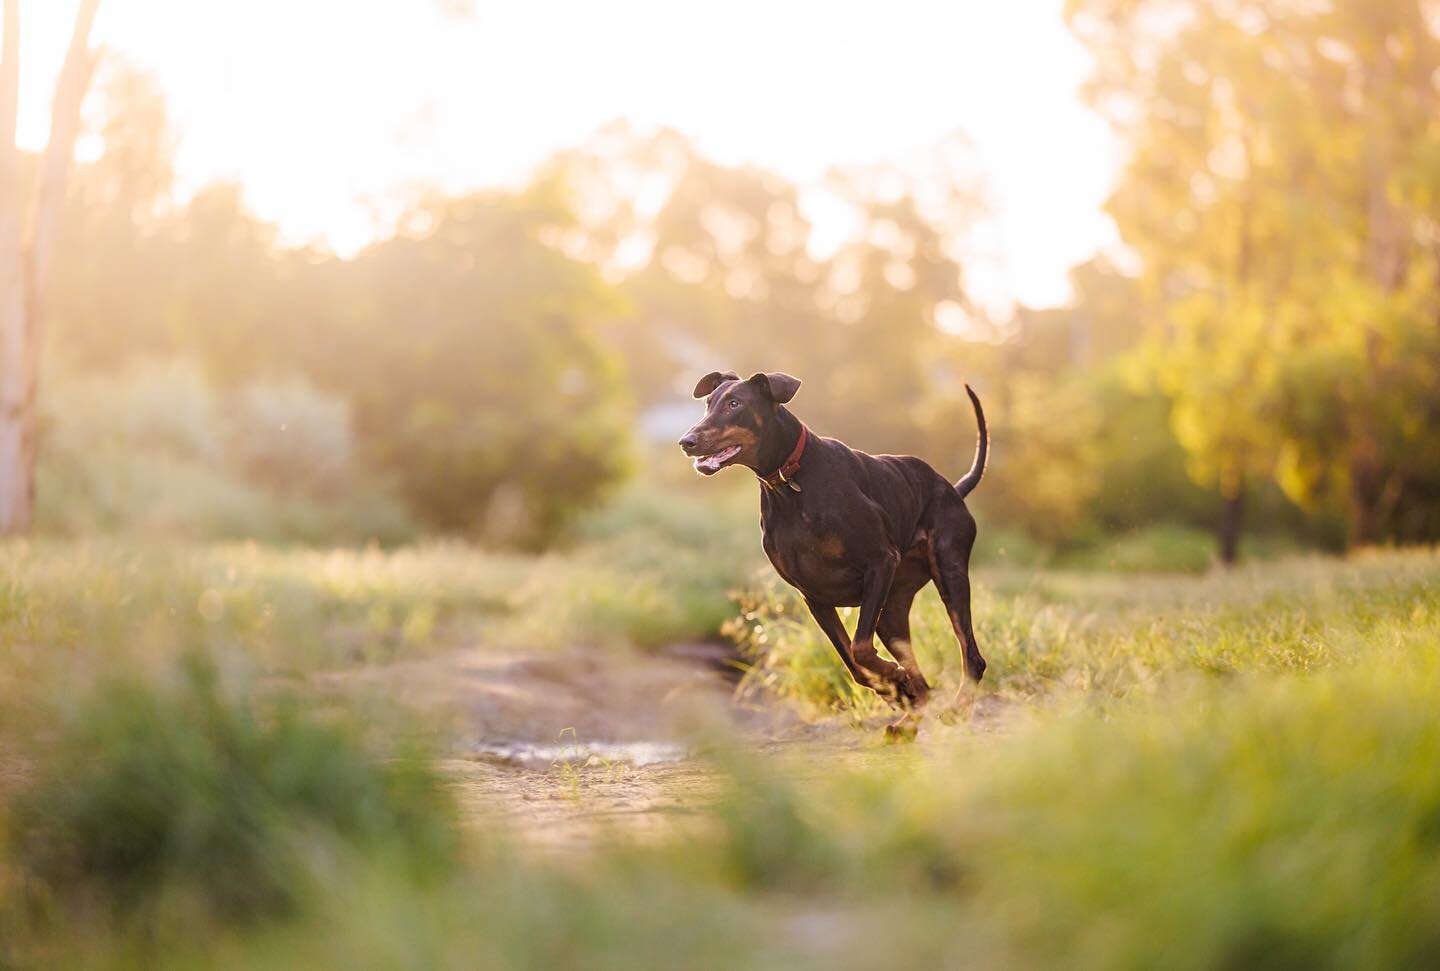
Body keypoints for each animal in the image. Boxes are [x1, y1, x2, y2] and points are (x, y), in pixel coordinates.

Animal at [679, 371, 984, 703]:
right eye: (708, 403)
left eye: (735, 403)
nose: (686, 442)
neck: (790, 481)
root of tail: (954, 490)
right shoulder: (813, 595)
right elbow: (857, 667)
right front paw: (895, 683)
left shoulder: (881, 560)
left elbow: (859, 648)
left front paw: (893, 675)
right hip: (891, 609)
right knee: (921, 678)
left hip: (947, 571)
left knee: (972, 658)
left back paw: (954, 706)